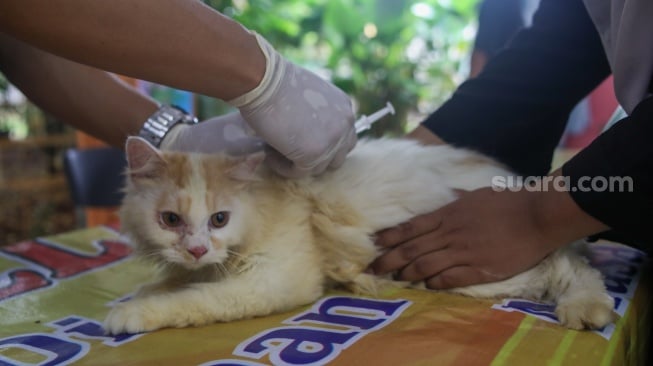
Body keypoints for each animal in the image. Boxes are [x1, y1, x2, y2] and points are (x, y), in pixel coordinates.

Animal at [104, 135, 612, 334]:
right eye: (170, 220)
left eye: (219, 220)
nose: (195, 248)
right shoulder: (204, 266)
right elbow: (174, 281)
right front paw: (142, 292)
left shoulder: (272, 282)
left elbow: (190, 300)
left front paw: (128, 314)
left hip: (489, 272)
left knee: (571, 266)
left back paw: (586, 310)